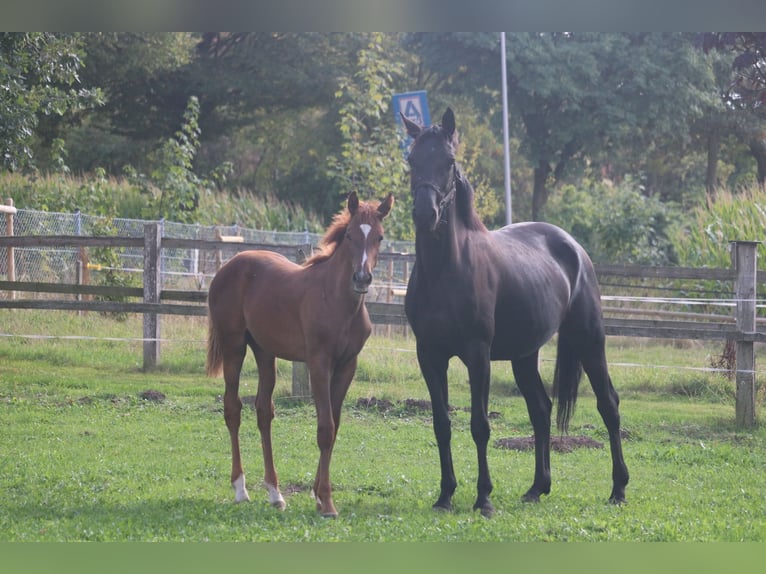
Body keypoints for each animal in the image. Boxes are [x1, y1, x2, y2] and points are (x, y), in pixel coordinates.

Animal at [206, 191, 393, 517]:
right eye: (349, 235)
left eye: (379, 237)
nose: (361, 278)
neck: (338, 303)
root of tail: (228, 267)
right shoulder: (319, 364)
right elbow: (325, 428)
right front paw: (326, 502)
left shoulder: (347, 366)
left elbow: (335, 425)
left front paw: (318, 495)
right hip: (234, 347)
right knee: (232, 409)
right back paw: (241, 489)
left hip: (264, 352)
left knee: (263, 412)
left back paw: (275, 493)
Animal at [401, 108, 629, 517]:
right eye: (411, 160)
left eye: (449, 162)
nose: (425, 214)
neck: (445, 270)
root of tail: (574, 247)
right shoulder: (429, 354)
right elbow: (441, 423)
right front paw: (445, 495)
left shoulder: (477, 354)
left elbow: (479, 425)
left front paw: (484, 498)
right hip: (525, 356)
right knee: (541, 409)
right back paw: (538, 487)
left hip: (590, 341)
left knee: (609, 405)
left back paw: (618, 489)